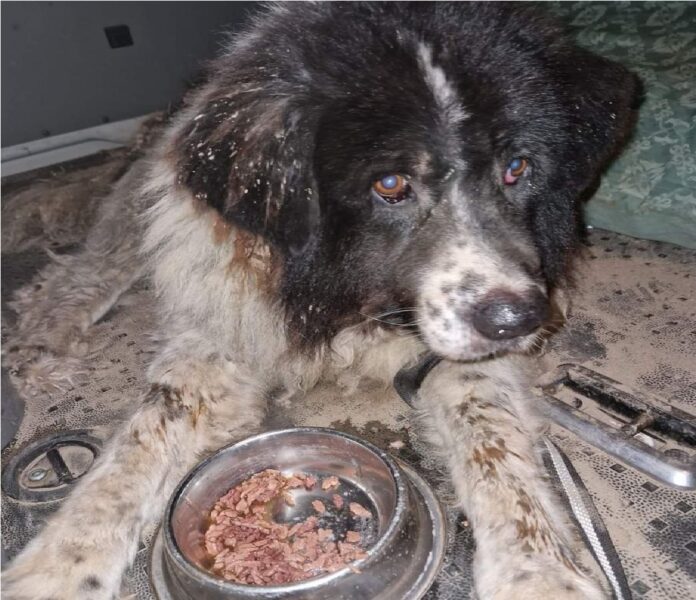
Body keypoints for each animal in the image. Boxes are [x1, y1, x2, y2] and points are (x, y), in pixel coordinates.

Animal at [3, 3, 640, 599]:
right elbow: (132, 455)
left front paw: (539, 573)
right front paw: (58, 567)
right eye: (390, 185)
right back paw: (40, 343)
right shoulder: (219, 333)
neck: (343, 300)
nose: (517, 320)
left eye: (517, 168)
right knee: (89, 269)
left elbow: (493, 443)